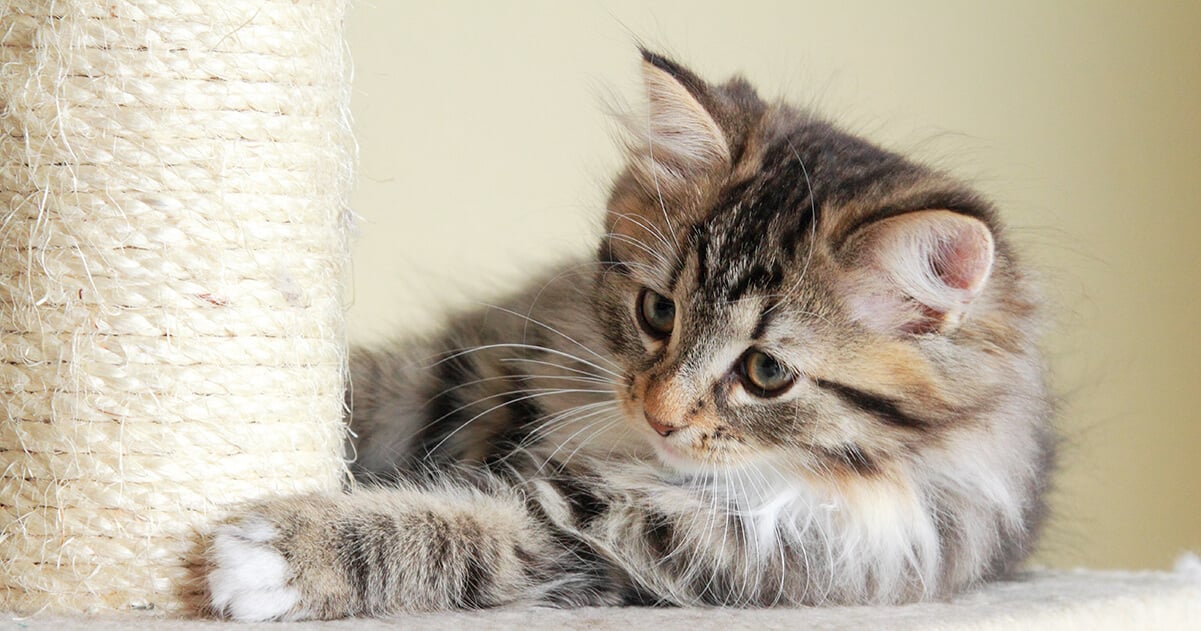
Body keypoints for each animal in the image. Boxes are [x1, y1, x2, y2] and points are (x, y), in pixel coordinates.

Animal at [204, 50, 1052, 620]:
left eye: (766, 371)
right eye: (657, 312)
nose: (660, 413)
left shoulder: (654, 546)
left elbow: (473, 525)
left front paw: (282, 555)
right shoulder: (484, 363)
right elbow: (378, 388)